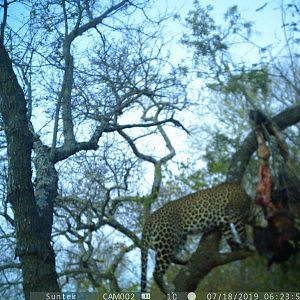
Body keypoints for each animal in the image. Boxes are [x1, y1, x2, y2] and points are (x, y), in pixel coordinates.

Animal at [140, 182, 268, 294]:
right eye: (263, 213)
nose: (267, 223)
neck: (249, 205)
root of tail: (149, 219)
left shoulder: (225, 222)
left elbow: (229, 234)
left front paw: (235, 246)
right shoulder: (237, 215)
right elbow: (242, 232)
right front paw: (248, 244)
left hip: (179, 238)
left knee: (172, 255)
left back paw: (186, 260)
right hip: (166, 241)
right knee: (157, 271)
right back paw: (166, 289)